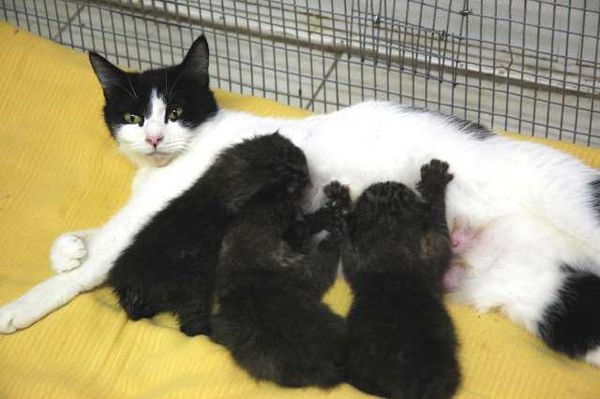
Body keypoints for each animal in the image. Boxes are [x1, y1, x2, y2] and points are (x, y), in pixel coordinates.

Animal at [106, 133, 310, 336]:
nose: (305, 176)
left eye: (294, 155)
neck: (217, 187)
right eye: (287, 183)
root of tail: (129, 284)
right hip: (191, 283)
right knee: (190, 324)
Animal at [211, 183, 352, 390]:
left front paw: (329, 212)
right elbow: (323, 256)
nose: (291, 192)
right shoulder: (308, 272)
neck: (246, 266)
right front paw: (334, 232)